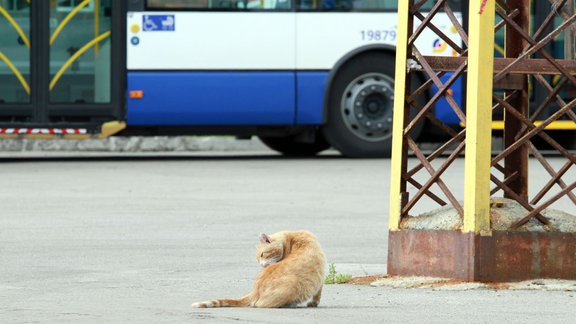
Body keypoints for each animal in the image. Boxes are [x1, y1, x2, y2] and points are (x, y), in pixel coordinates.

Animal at [191, 229, 326, 308]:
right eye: (259, 258)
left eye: (262, 255)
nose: (262, 265)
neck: (292, 238)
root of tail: (253, 292)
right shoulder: (320, 277)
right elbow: (318, 293)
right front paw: (314, 303)